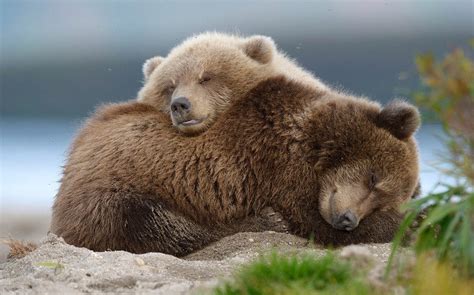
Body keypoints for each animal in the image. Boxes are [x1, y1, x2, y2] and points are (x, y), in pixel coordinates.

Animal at [50, 76, 420, 256]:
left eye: (380, 198)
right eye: (374, 179)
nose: (347, 219)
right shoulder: (279, 167)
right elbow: (312, 220)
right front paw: (415, 223)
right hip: (106, 192)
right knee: (150, 222)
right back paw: (262, 221)